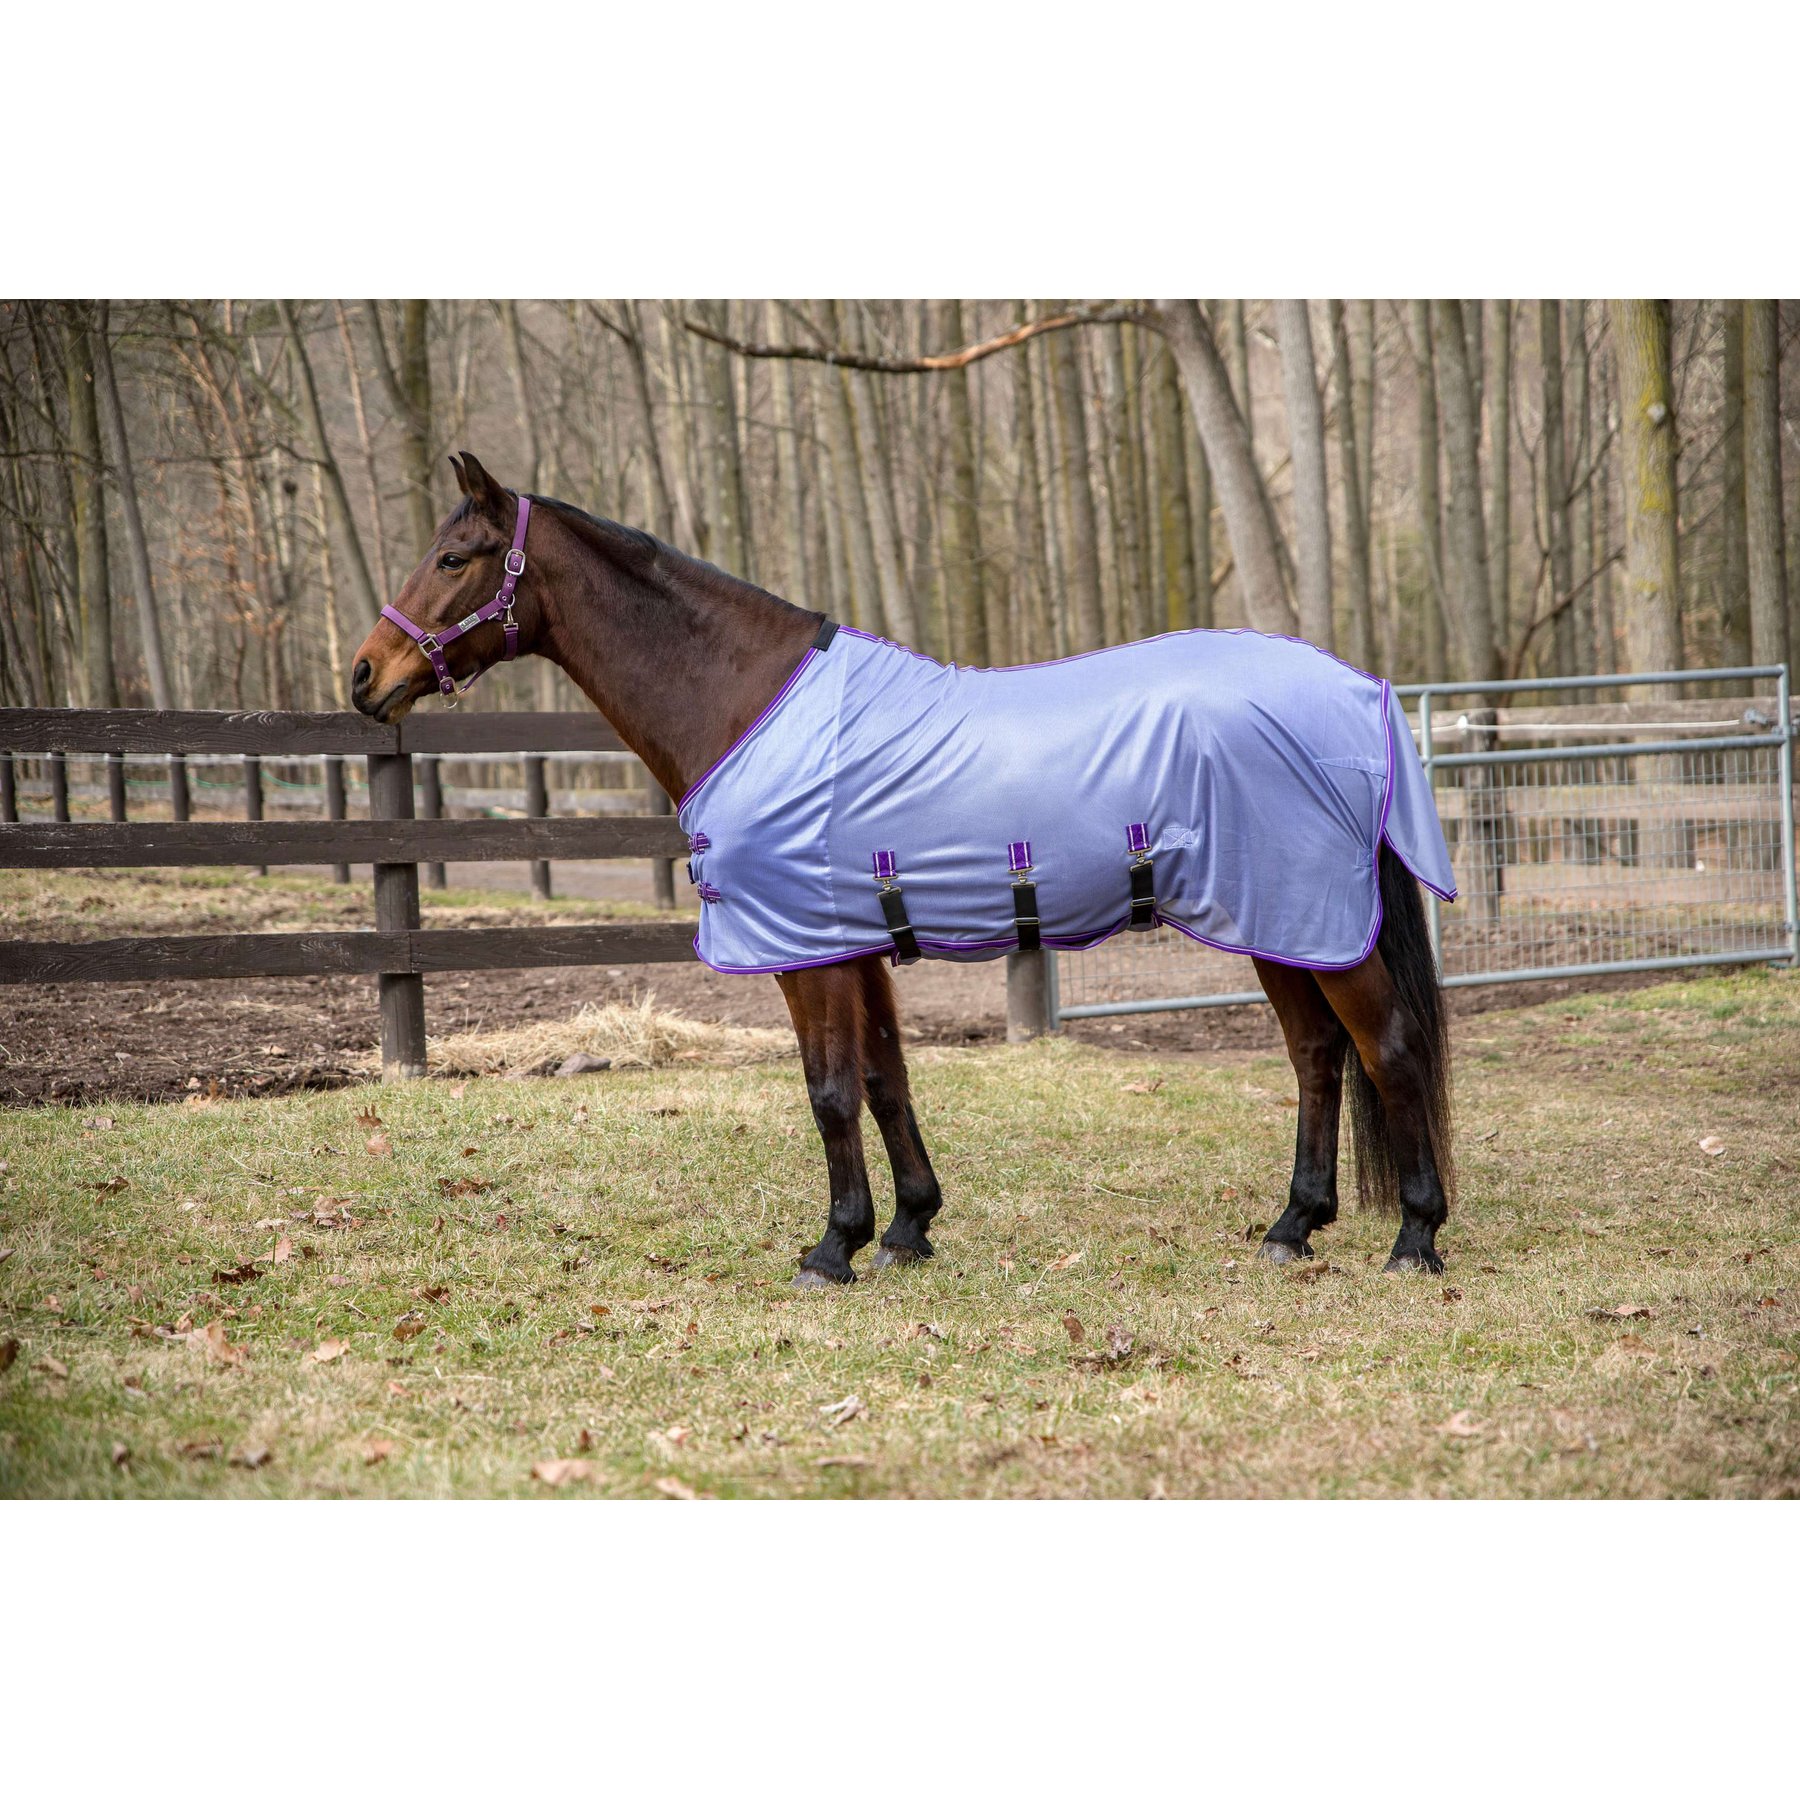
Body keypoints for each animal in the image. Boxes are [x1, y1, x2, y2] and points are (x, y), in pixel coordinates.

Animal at [350, 452, 1455, 1285]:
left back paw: (1414, 1235)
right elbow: (886, 1080)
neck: (748, 703)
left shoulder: (808, 950)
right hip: (1276, 917)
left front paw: (832, 1248)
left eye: (452, 557)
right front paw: (908, 1228)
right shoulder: (858, 944)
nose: (365, 677)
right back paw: (1293, 1226)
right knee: (1317, 1053)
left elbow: (830, 1090)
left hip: (1305, 913)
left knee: (1389, 1044)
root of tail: (1359, 691)